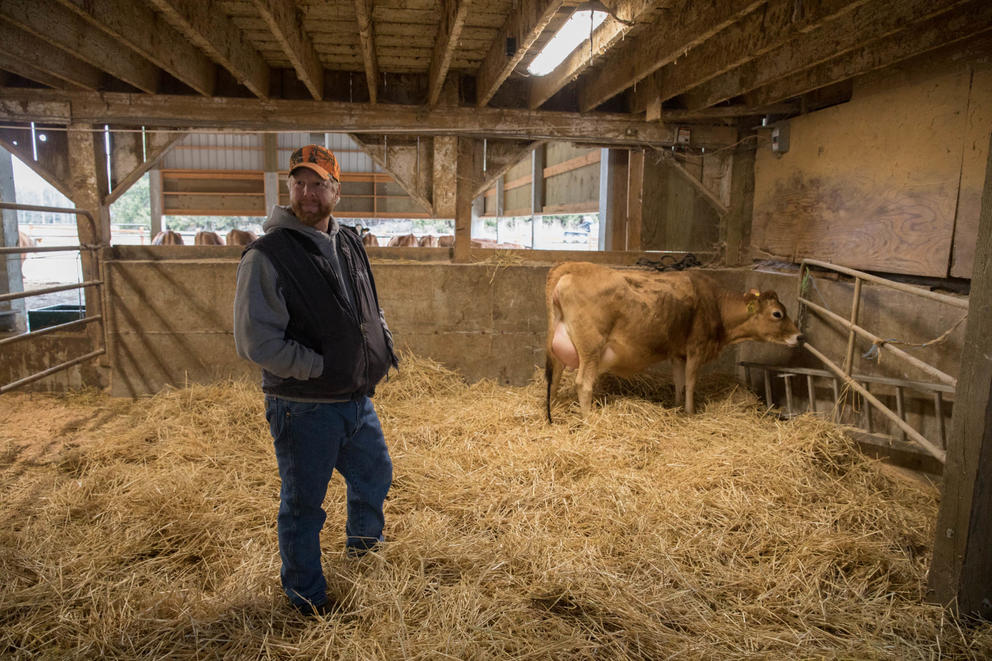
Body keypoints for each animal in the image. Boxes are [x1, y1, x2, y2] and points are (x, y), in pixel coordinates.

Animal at [548, 260, 804, 420]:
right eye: (777, 314)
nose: (799, 336)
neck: (716, 304)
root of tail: (574, 266)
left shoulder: (677, 352)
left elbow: (679, 381)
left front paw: (678, 406)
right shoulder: (696, 347)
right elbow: (690, 382)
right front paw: (690, 412)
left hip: (559, 345)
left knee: (555, 376)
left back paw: (553, 405)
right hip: (591, 347)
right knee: (583, 383)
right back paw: (589, 419)